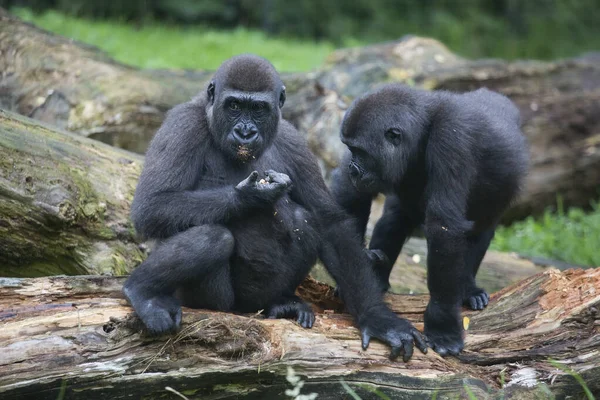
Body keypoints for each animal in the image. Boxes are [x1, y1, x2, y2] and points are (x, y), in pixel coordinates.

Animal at [124, 54, 428, 362]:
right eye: (234, 106)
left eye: (258, 108)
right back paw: (142, 291)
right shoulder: (182, 124)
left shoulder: (293, 139)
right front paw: (249, 197)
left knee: (304, 221)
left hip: (258, 301)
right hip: (218, 303)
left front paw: (375, 316)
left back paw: (280, 303)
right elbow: (153, 205)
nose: (245, 132)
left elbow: (329, 224)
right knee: (213, 238)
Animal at [332, 84, 528, 356]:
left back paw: (468, 288)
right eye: (350, 149)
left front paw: (442, 325)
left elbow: (444, 228)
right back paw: (378, 276)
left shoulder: (451, 140)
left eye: (360, 151)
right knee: (394, 220)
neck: (423, 130)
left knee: (480, 232)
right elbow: (350, 196)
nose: (352, 168)